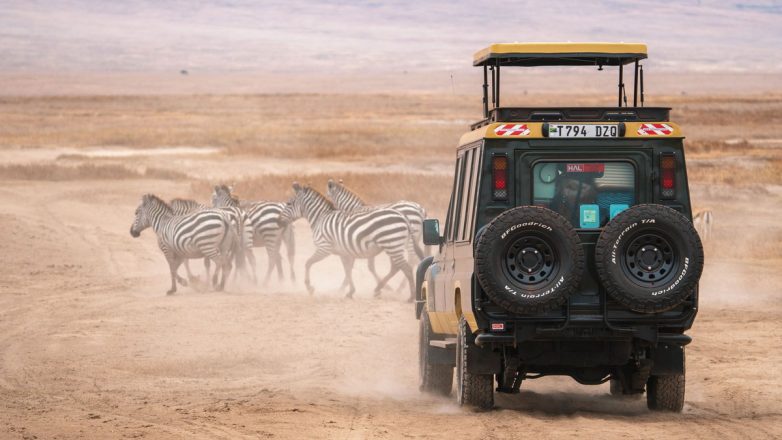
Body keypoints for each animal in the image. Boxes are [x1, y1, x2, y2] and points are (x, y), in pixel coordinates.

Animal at [280, 180, 416, 300]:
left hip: (392, 245)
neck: (320, 218)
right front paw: (350, 292)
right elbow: (347, 270)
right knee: (396, 267)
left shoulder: (324, 248)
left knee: (407, 268)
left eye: (289, 204)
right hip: (393, 246)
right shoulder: (343, 252)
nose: (279, 219)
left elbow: (308, 263)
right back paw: (379, 288)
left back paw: (411, 297)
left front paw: (309, 287)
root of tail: (402, 216)